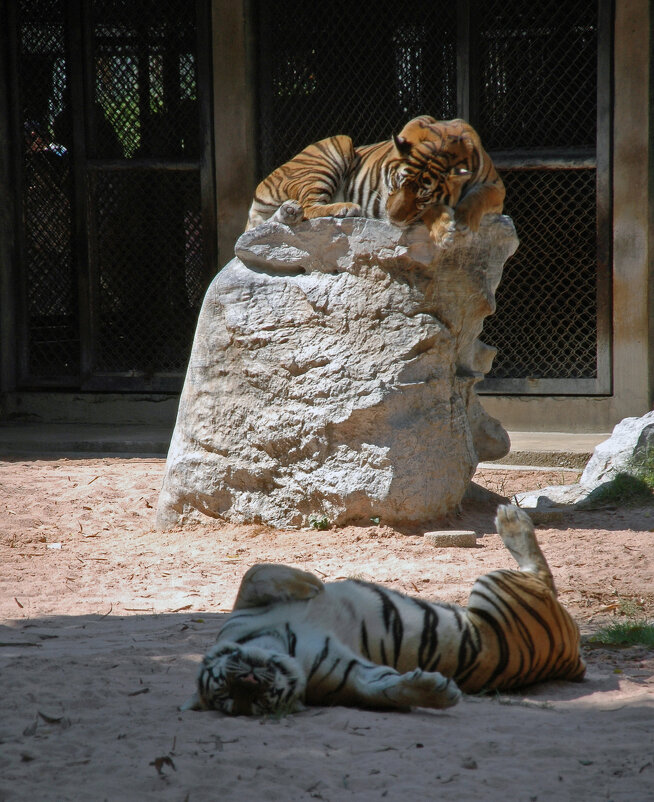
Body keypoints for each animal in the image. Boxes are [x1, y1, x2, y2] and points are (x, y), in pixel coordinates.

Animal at [186, 506, 588, 712]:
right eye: (232, 698)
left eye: (224, 684)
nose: (249, 682)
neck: (286, 646)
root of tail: (572, 661)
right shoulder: (350, 675)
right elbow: (385, 689)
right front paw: (436, 692)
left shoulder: (243, 608)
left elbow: (253, 571)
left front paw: (311, 583)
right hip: (496, 586)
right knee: (540, 575)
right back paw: (511, 521)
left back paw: (510, 518)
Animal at [246, 112, 508, 244]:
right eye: (394, 185)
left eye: (422, 197)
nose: (391, 219)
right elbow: (431, 212)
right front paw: (445, 231)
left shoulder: (496, 185)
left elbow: (479, 197)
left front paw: (464, 221)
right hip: (339, 143)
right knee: (310, 206)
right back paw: (346, 207)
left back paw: (290, 212)